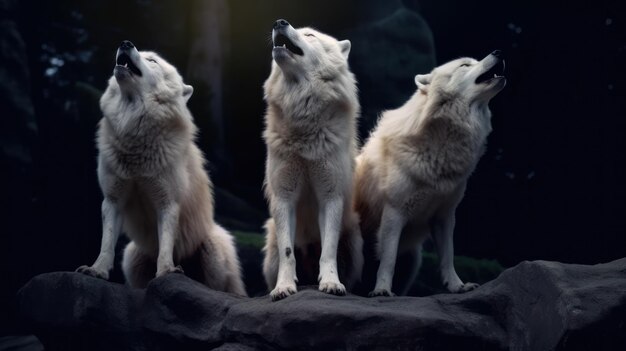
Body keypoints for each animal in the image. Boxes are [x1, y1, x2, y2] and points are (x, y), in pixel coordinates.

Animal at [75, 40, 244, 296]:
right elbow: (106, 244)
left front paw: (166, 272)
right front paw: (97, 270)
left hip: (213, 250)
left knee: (218, 289)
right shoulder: (112, 200)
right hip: (131, 256)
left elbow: (165, 245)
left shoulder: (168, 202)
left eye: (152, 60)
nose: (125, 43)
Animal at [260, 19, 364, 302]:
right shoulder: (284, 197)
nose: (279, 22)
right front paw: (284, 288)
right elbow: (288, 252)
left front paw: (331, 283)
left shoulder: (330, 197)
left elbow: (328, 250)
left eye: (309, 35)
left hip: (354, 240)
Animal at [354, 51, 504, 296]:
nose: (498, 52)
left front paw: (457, 286)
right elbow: (388, 260)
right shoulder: (394, 212)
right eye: (465, 65)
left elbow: (448, 257)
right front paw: (382, 290)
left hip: (413, 260)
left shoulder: (444, 216)